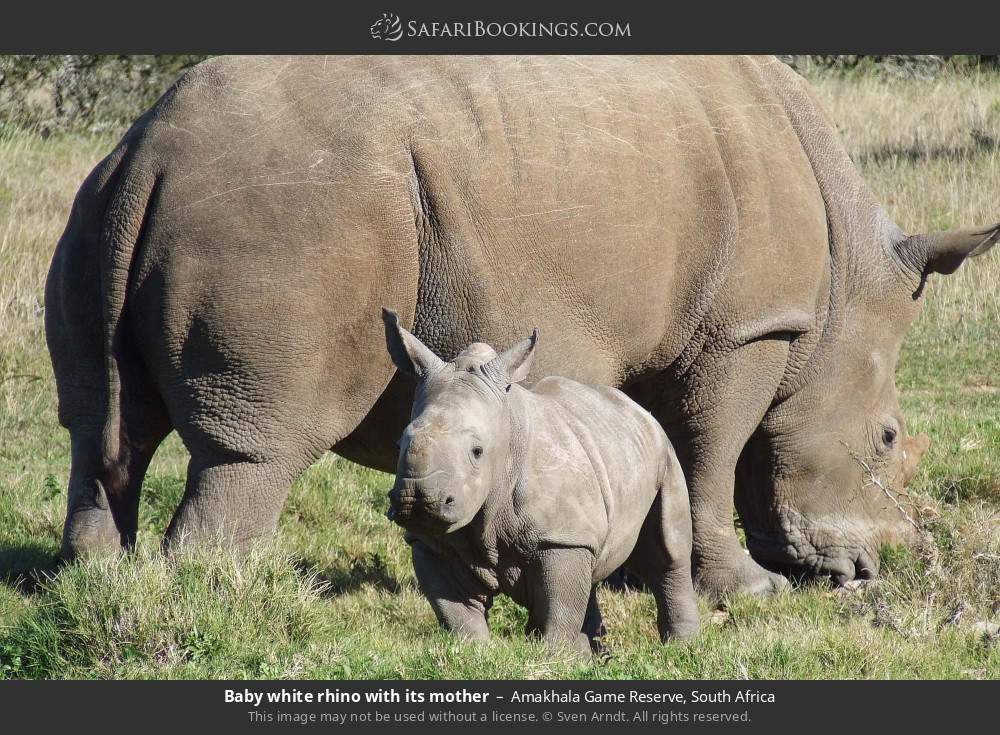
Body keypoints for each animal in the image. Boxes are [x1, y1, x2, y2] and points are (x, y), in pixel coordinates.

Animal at [46, 55, 998, 600]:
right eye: (887, 437)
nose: (874, 567)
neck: (844, 282)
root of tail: (152, 149)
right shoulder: (747, 329)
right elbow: (713, 453)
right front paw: (749, 591)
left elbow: (669, 453)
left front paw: (638, 573)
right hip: (291, 220)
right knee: (257, 442)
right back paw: (224, 595)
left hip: (99, 208)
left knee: (100, 427)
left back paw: (94, 581)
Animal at [382, 310, 699, 652]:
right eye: (398, 444)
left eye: (477, 452)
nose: (418, 500)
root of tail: (637, 409)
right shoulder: (432, 541)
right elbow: (456, 610)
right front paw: (474, 651)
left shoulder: (560, 536)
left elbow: (558, 606)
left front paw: (553, 655)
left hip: (664, 452)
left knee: (667, 552)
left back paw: (681, 647)